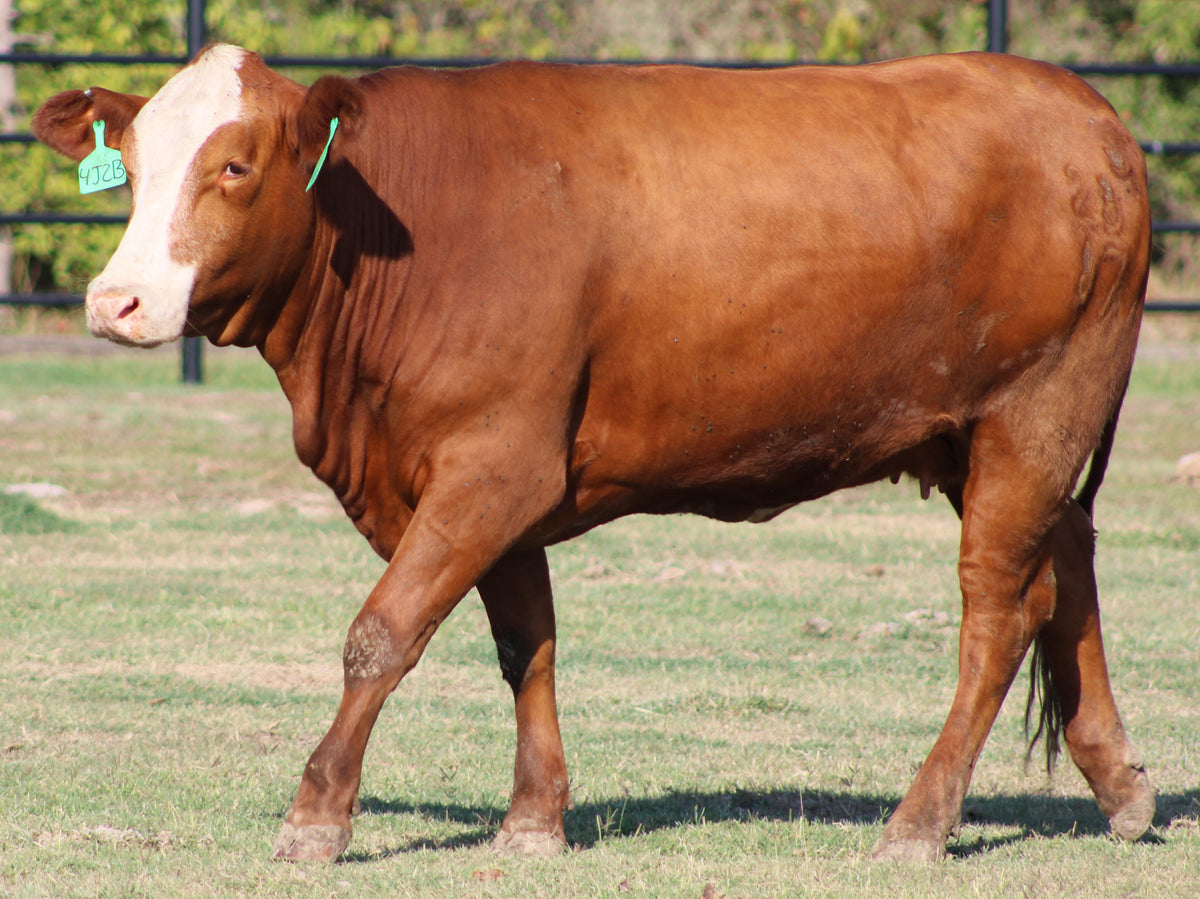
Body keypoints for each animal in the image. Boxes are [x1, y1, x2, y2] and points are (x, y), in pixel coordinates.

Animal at [30, 43, 1152, 864]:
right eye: (133, 170)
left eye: (234, 165)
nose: (115, 301)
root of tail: (1084, 113)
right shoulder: (500, 478)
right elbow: (526, 642)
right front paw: (534, 818)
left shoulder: (492, 464)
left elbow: (381, 633)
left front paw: (317, 816)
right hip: (989, 440)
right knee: (1069, 565)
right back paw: (1121, 783)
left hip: (1035, 416)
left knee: (997, 614)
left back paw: (919, 823)